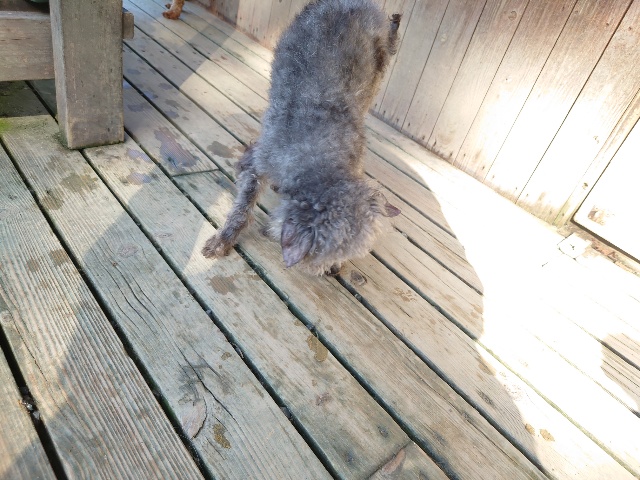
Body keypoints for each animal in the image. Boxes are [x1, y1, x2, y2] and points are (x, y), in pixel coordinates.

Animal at [203, 0, 401, 276]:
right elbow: (242, 207)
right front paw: (224, 238)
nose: (334, 271)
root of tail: (359, 3)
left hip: (376, 71)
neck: (322, 155)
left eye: (347, 254)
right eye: (323, 257)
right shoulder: (259, 163)